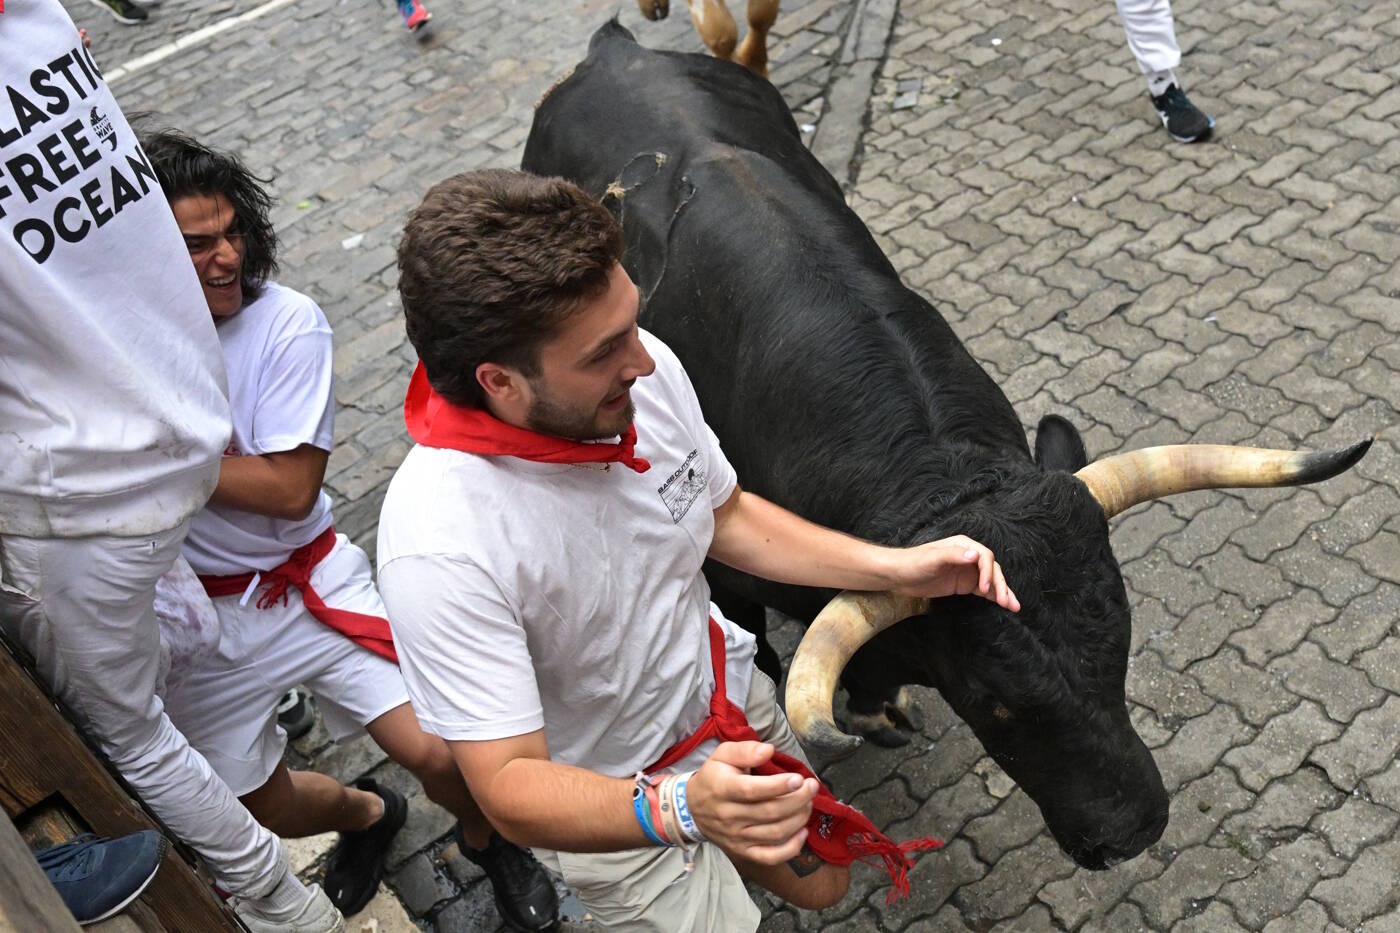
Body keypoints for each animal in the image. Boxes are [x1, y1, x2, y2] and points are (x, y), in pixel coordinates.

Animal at [520, 19, 1372, 862]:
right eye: (994, 703)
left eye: (1123, 644)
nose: (1130, 832)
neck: (940, 472)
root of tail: (616, 46)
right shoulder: (728, 576)